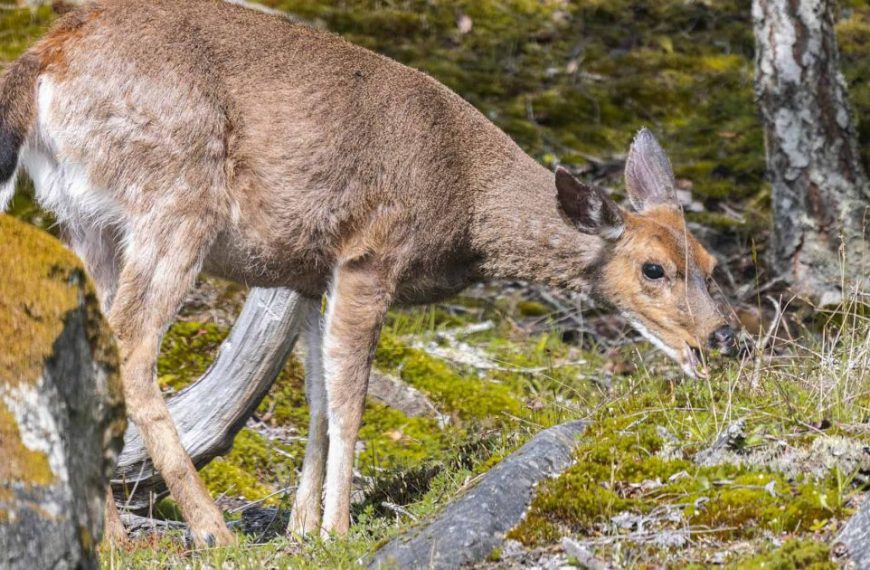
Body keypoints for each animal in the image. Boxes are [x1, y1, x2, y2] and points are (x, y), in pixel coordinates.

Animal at [0, 0, 738, 546]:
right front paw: (338, 528)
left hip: (88, 220)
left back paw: (114, 535)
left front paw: (304, 530)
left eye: (709, 262)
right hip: (175, 198)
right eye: (652, 268)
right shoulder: (372, 251)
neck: (466, 203)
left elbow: (318, 397)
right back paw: (209, 532)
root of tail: (44, 59)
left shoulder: (307, 272)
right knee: (131, 346)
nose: (724, 337)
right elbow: (350, 399)